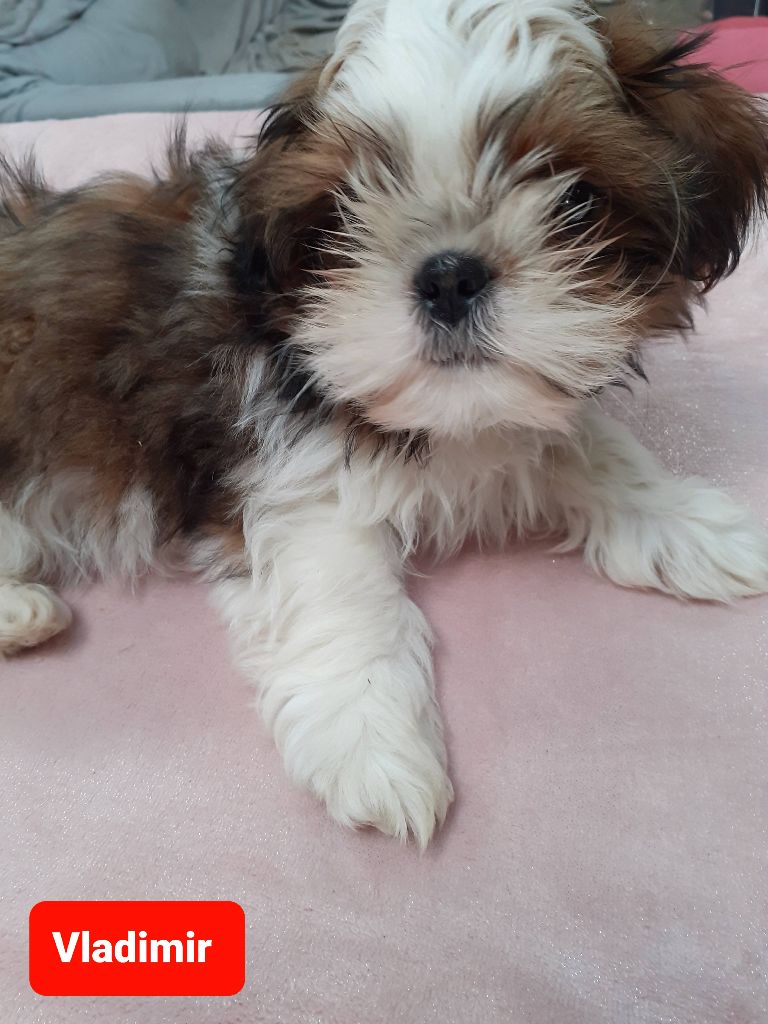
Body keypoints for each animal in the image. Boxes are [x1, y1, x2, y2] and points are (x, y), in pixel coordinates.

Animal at [1, 0, 767, 847]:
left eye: (573, 200)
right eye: (345, 210)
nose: (450, 275)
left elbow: (583, 447)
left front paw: (693, 526)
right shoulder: (289, 476)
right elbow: (342, 591)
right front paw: (372, 742)